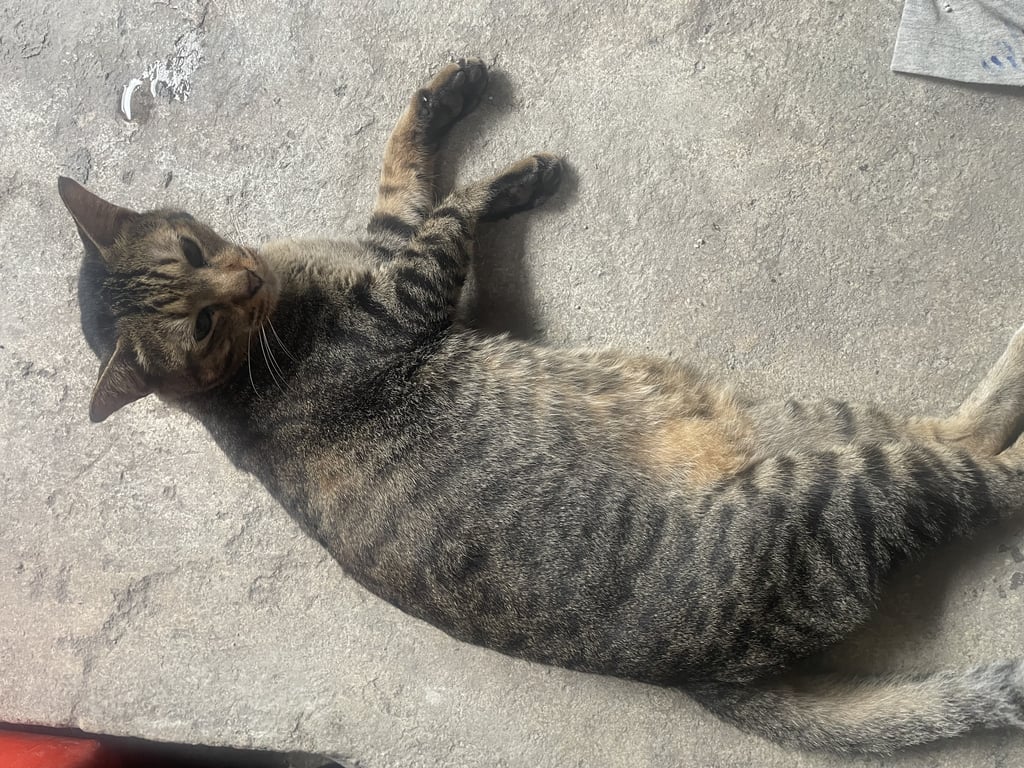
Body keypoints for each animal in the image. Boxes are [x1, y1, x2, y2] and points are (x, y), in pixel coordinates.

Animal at [59, 57, 1024, 755]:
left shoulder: (399, 255)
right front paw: (510, 179)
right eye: (201, 319)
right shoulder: (412, 293)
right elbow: (451, 208)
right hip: (842, 482)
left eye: (193, 250)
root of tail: (713, 676)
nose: (243, 277)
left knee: (966, 430)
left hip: (807, 424)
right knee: (983, 472)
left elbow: (405, 177)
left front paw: (449, 98)